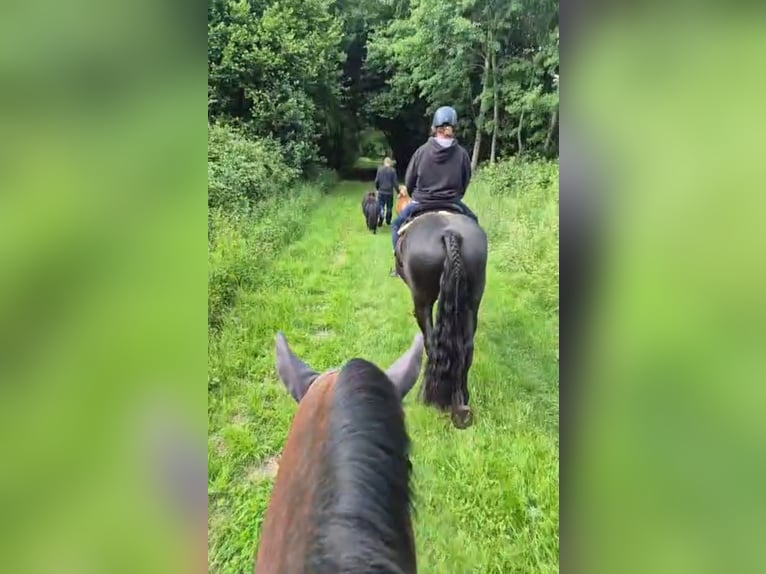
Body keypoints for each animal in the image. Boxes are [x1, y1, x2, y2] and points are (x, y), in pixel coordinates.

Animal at [394, 209, 488, 429]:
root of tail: (449, 233)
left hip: (422, 302)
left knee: (431, 344)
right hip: (472, 302)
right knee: (467, 349)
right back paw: (462, 399)